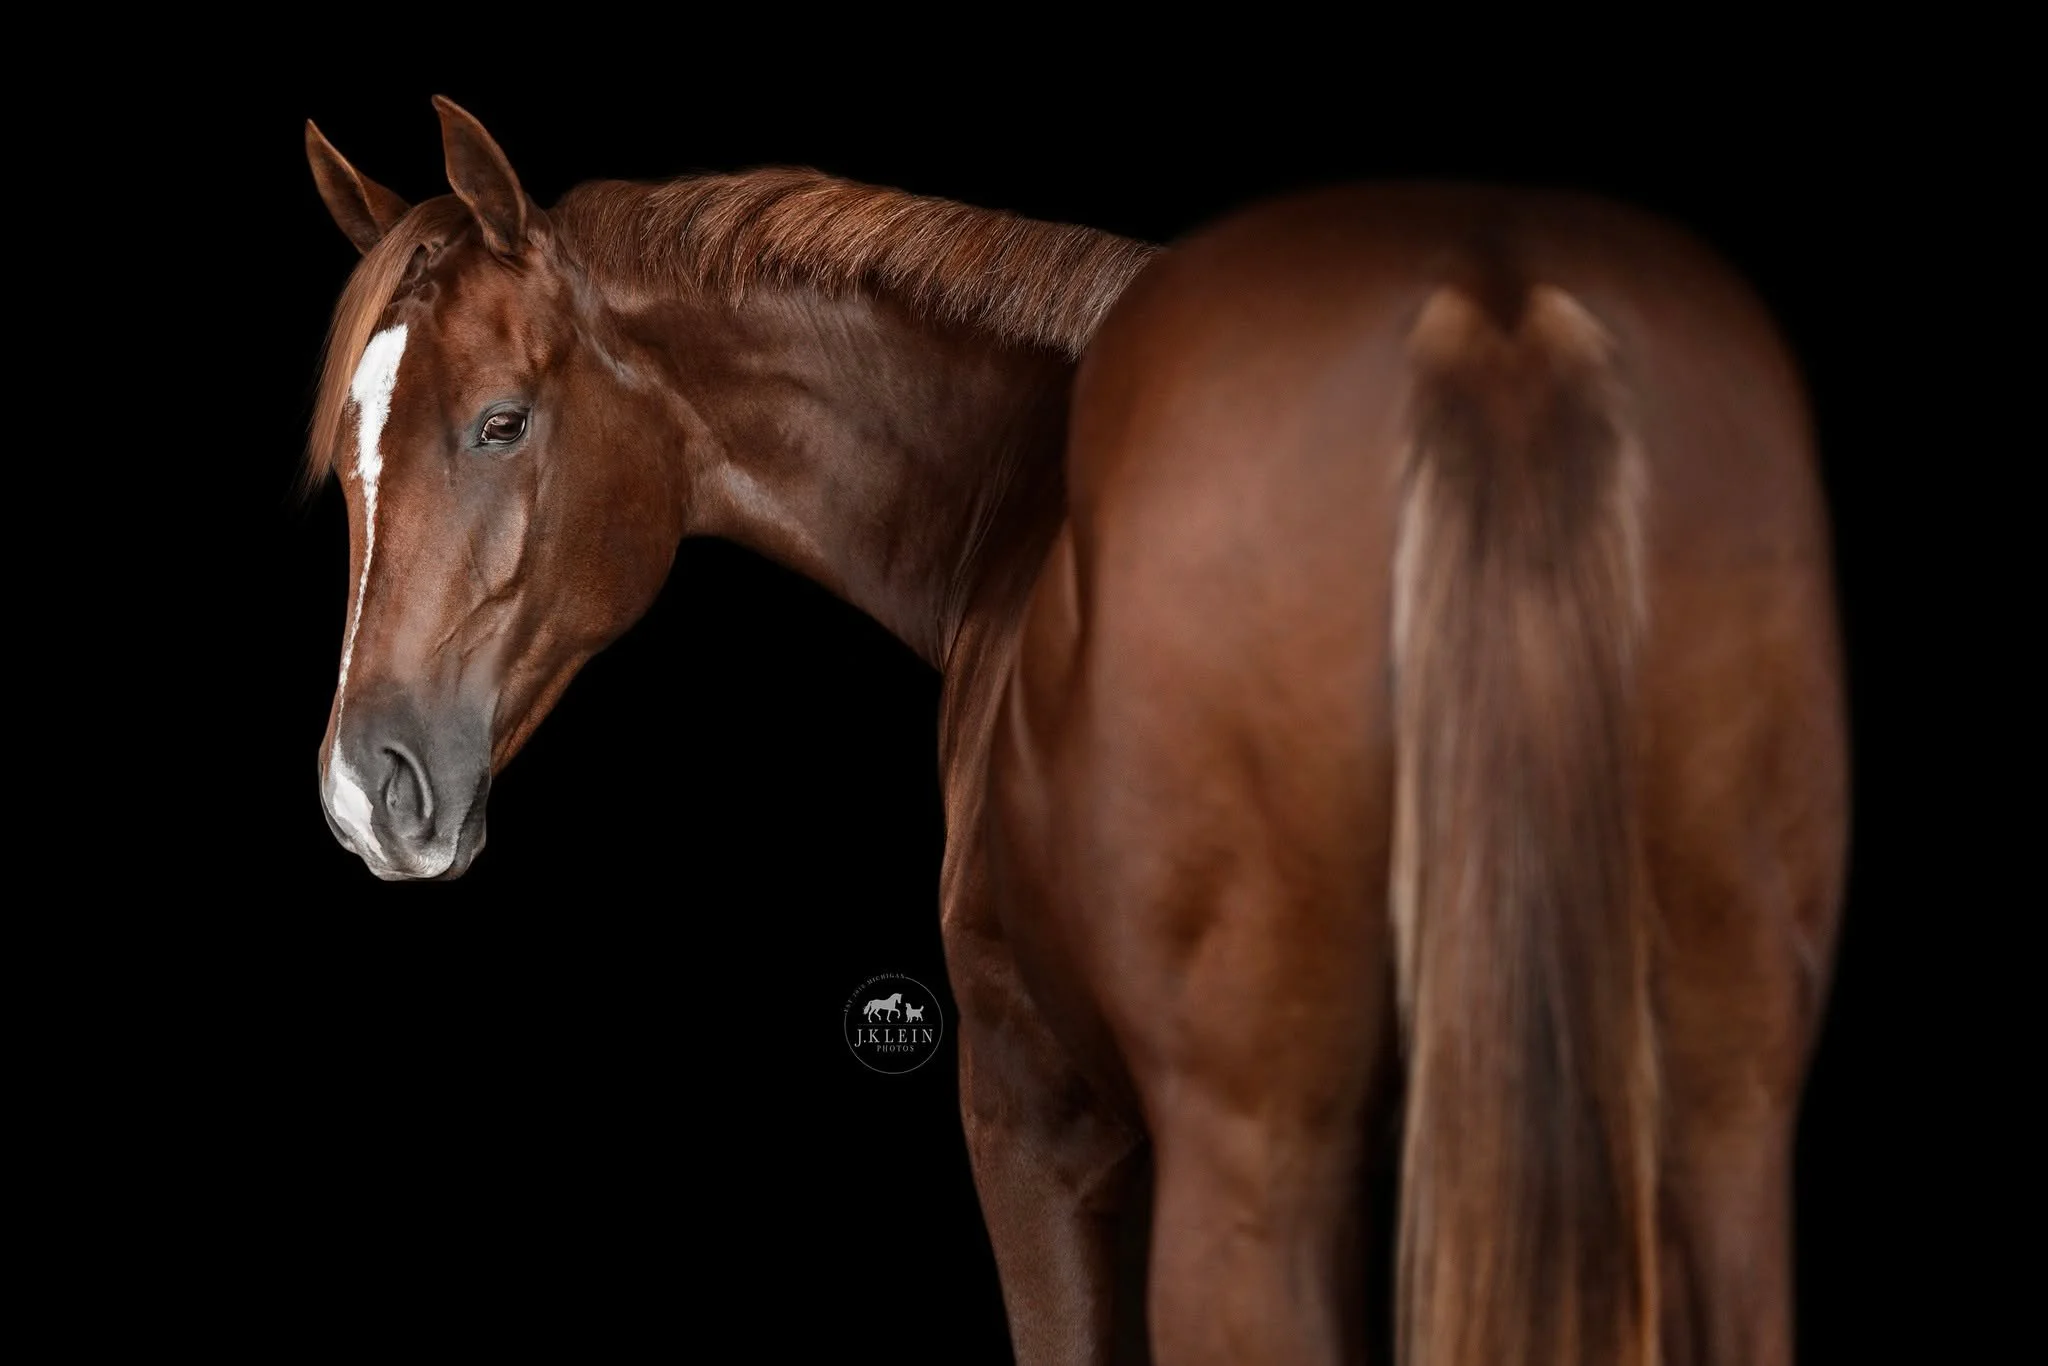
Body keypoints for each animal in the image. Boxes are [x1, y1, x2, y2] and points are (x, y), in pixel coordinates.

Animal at [301, 98, 1848, 1366]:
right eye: (352, 463)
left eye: (502, 421)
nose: (367, 789)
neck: (1028, 490)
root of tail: (1494, 311)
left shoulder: (1038, 1128)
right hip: (1717, 1148)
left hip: (1250, 1176)